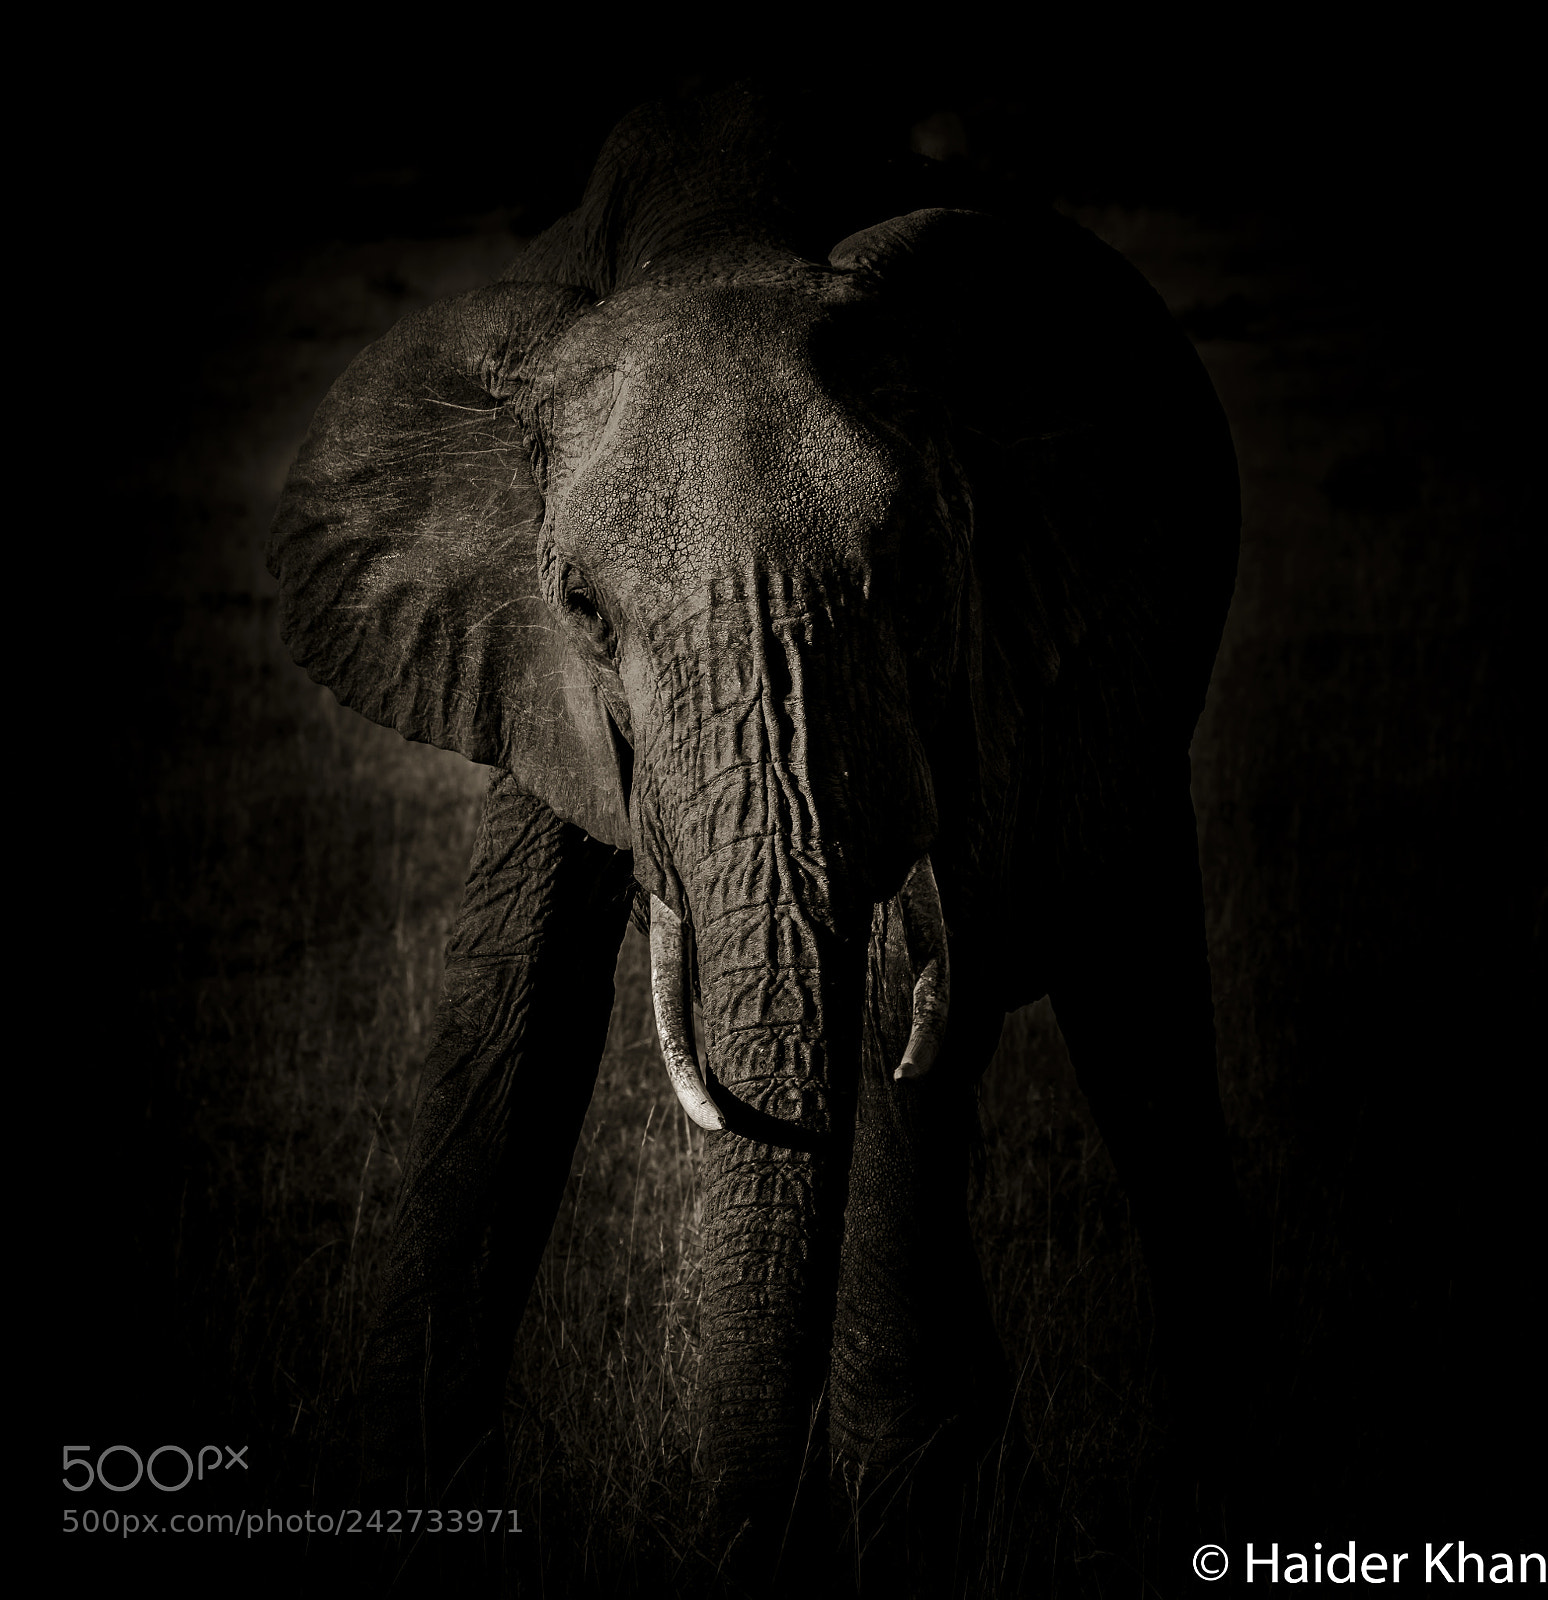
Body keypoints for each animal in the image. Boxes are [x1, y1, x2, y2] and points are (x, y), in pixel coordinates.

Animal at [267, 88, 1242, 1579]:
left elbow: (908, 999)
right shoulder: (520, 671)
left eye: (919, 572)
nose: (741, 1537)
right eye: (581, 605)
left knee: (1142, 1041)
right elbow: (509, 1014)